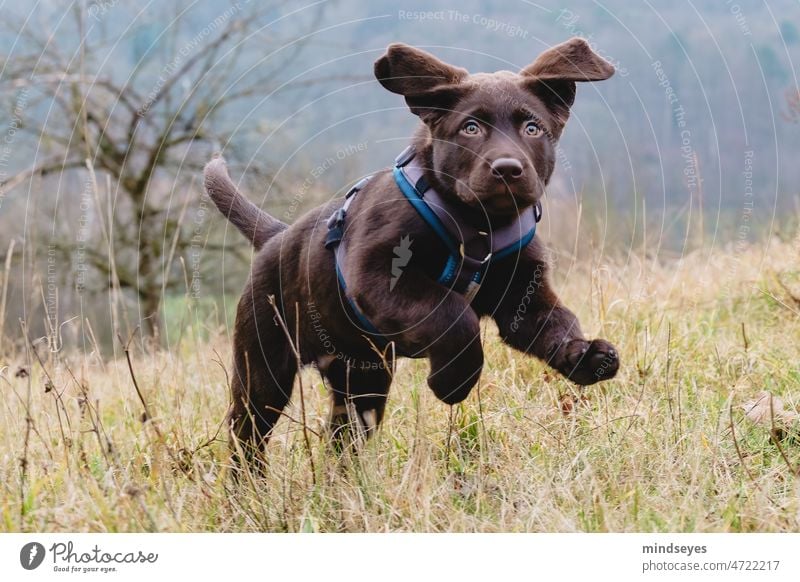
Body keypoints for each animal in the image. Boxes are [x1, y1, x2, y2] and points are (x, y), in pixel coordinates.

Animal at [205, 38, 620, 464]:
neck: (479, 224)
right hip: (264, 364)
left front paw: (584, 354)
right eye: (470, 128)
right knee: (247, 434)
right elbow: (454, 315)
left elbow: (555, 321)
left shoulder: (523, 294)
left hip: (362, 375)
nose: (507, 169)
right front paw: (452, 382)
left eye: (532, 128)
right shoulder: (376, 279)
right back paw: (250, 481)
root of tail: (278, 235)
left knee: (343, 435)